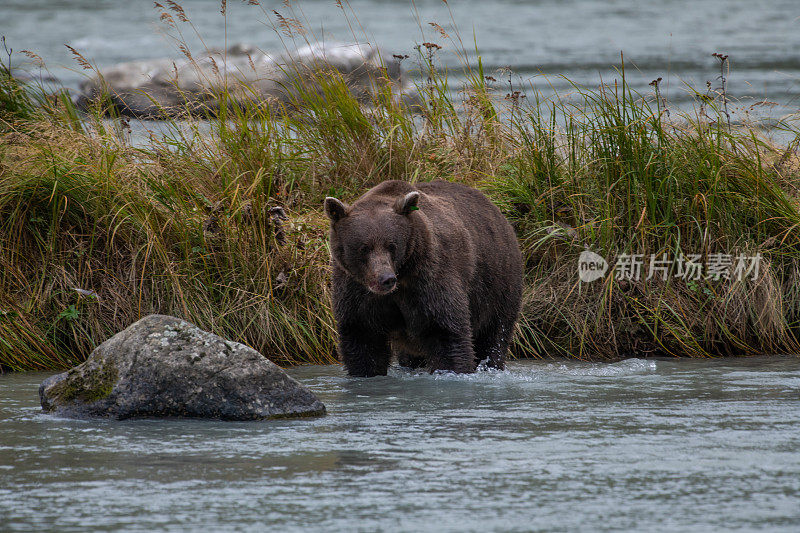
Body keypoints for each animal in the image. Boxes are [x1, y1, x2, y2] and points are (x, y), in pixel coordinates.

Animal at [324, 181, 524, 376]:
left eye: (392, 246)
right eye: (364, 248)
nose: (386, 279)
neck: (402, 273)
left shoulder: (429, 277)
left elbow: (446, 331)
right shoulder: (356, 290)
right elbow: (364, 339)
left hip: (498, 283)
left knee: (494, 334)